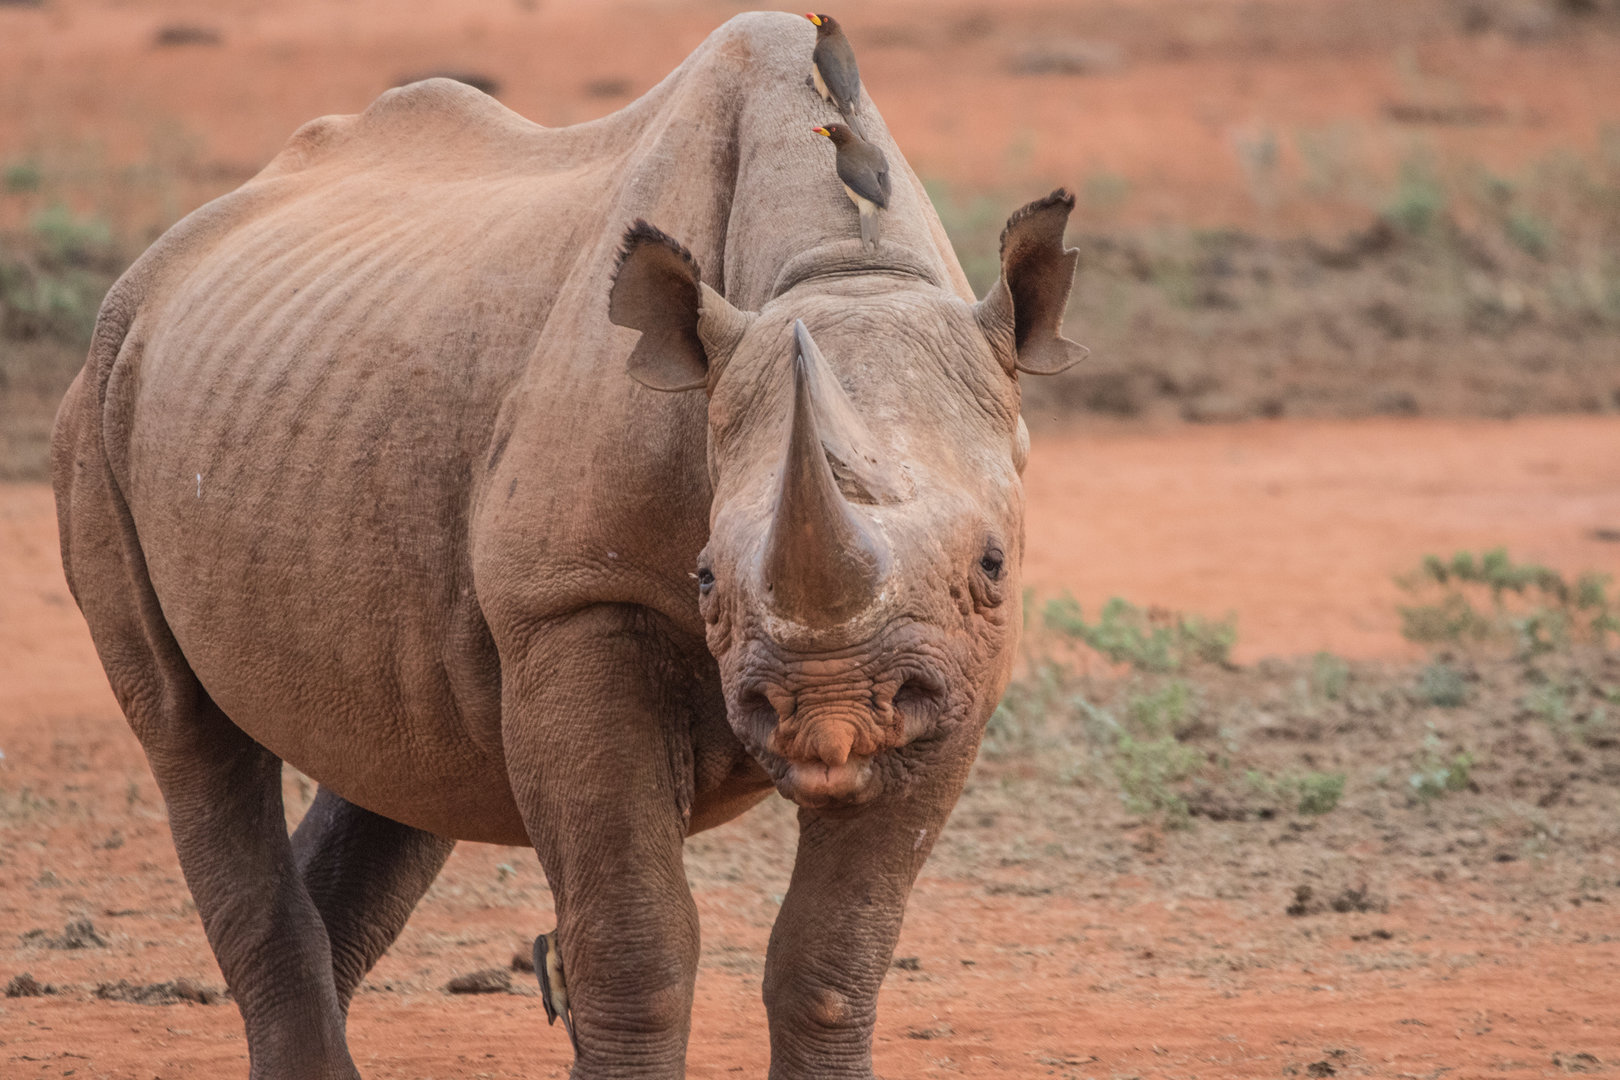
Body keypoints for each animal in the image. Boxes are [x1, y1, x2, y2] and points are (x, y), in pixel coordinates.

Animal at [51, 12, 1085, 1079]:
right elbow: (637, 940)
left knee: (405, 761)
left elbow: (837, 954)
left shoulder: (955, 670)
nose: (830, 709)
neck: (846, 268)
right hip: (99, 391)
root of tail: (167, 254)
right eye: (705, 580)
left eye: (992, 564)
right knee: (187, 733)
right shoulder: (572, 597)